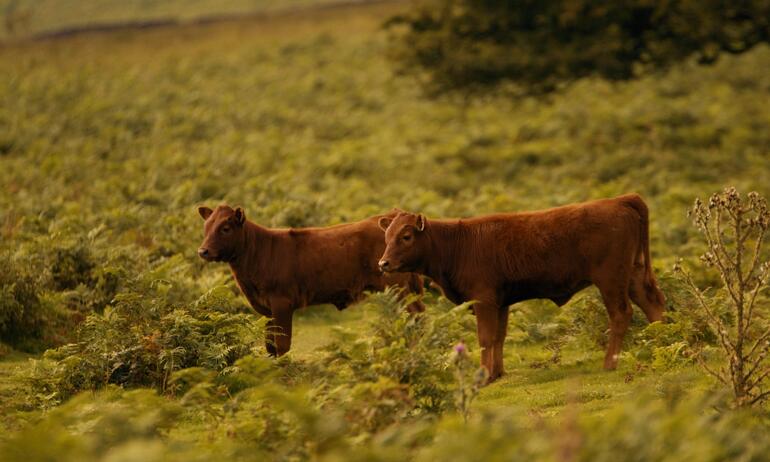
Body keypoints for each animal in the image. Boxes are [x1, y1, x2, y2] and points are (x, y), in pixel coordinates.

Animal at [197, 205, 424, 356]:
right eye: (206, 227)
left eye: (225, 228)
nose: (203, 251)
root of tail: (394, 214)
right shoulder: (266, 308)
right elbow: (270, 345)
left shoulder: (281, 303)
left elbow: (282, 345)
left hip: (398, 287)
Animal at [377, 194, 665, 382]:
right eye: (386, 236)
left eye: (406, 236)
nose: (383, 263)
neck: (458, 245)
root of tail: (620, 200)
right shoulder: (500, 302)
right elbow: (498, 337)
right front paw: (496, 372)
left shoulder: (483, 300)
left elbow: (485, 338)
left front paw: (484, 376)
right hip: (633, 274)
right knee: (653, 304)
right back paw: (664, 342)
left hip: (611, 279)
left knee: (620, 314)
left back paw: (608, 363)